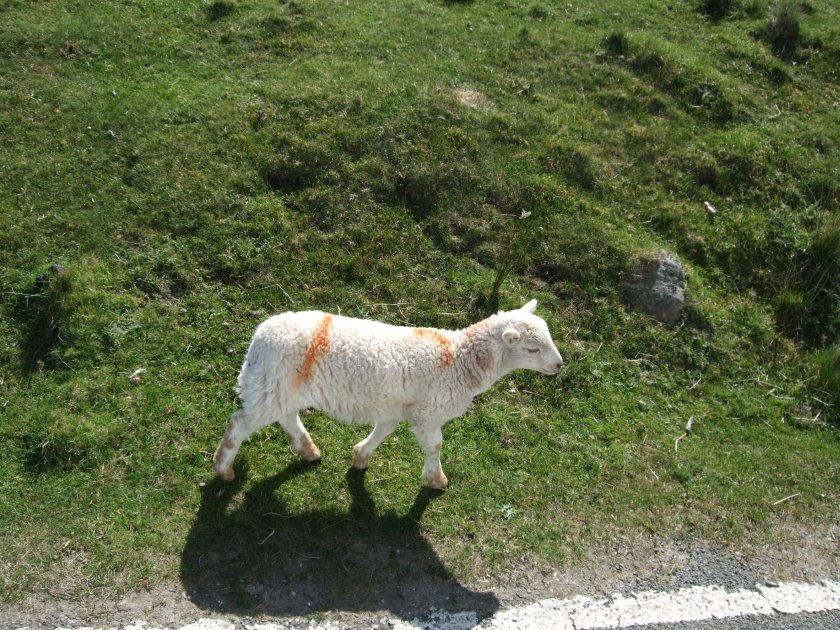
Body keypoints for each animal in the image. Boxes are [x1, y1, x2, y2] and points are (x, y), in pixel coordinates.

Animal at [213, 300, 560, 488]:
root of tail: (258, 339)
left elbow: (384, 431)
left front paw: (361, 456)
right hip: (270, 385)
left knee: (286, 416)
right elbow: (435, 445)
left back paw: (308, 450)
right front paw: (436, 480)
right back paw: (223, 467)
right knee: (240, 423)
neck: (460, 358)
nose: (559, 364)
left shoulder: (396, 406)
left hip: (279, 387)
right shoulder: (428, 412)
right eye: (532, 348)